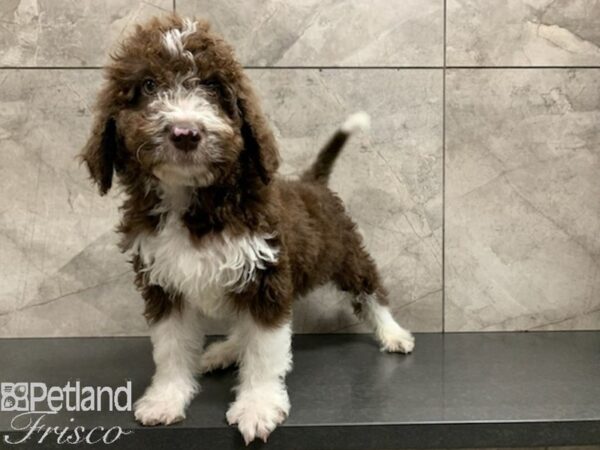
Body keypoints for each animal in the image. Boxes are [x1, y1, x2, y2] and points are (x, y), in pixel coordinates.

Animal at [82, 14, 414, 446]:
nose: (185, 132)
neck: (193, 201)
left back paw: (392, 333)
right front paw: (166, 398)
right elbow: (171, 347)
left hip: (343, 252)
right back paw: (222, 352)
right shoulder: (162, 284)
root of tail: (313, 182)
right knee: (241, 328)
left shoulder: (265, 276)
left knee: (368, 289)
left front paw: (257, 406)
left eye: (212, 87)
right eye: (149, 86)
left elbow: (265, 349)